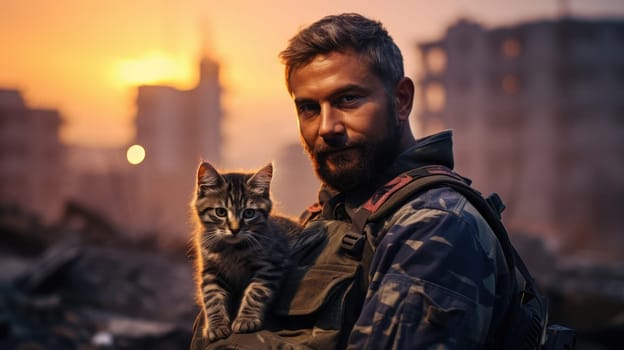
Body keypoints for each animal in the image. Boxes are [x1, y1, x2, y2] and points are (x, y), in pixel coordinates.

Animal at [191, 161, 298, 342]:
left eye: (249, 213)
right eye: (220, 212)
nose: (235, 229)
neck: (232, 249)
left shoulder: (271, 264)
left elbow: (256, 291)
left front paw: (246, 319)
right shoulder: (210, 269)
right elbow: (211, 297)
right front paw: (216, 326)